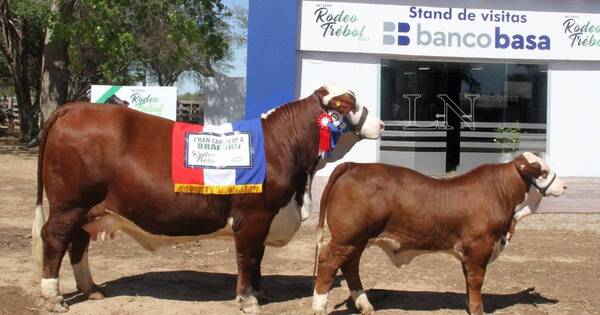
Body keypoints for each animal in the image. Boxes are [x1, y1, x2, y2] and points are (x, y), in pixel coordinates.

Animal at [31, 84, 384, 314]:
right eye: (347, 104)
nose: (380, 123)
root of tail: (75, 107)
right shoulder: (253, 216)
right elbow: (247, 257)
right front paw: (248, 300)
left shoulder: (265, 218)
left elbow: (257, 257)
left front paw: (260, 292)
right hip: (69, 204)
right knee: (56, 238)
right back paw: (53, 297)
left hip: (87, 209)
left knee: (78, 242)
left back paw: (91, 290)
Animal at [314, 152, 568, 314]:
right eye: (543, 172)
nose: (564, 185)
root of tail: (355, 164)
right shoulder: (479, 247)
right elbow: (476, 282)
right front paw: (477, 310)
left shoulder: (470, 253)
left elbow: (469, 283)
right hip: (347, 238)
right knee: (328, 262)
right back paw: (319, 307)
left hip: (357, 239)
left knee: (350, 266)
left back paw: (365, 306)